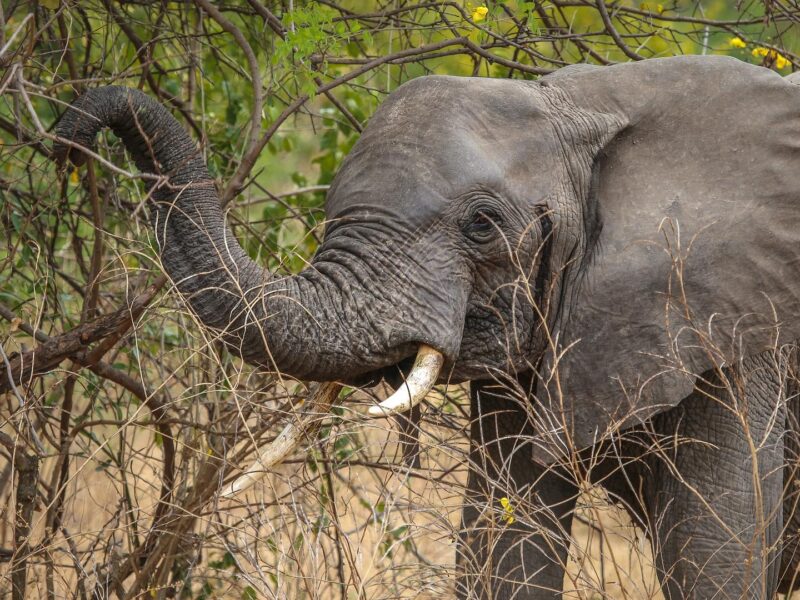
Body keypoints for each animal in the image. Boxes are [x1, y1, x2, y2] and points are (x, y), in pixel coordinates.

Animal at [52, 54, 800, 598]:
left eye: (481, 224)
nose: (66, 139)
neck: (593, 103)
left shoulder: (730, 331)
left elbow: (714, 561)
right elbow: (503, 545)